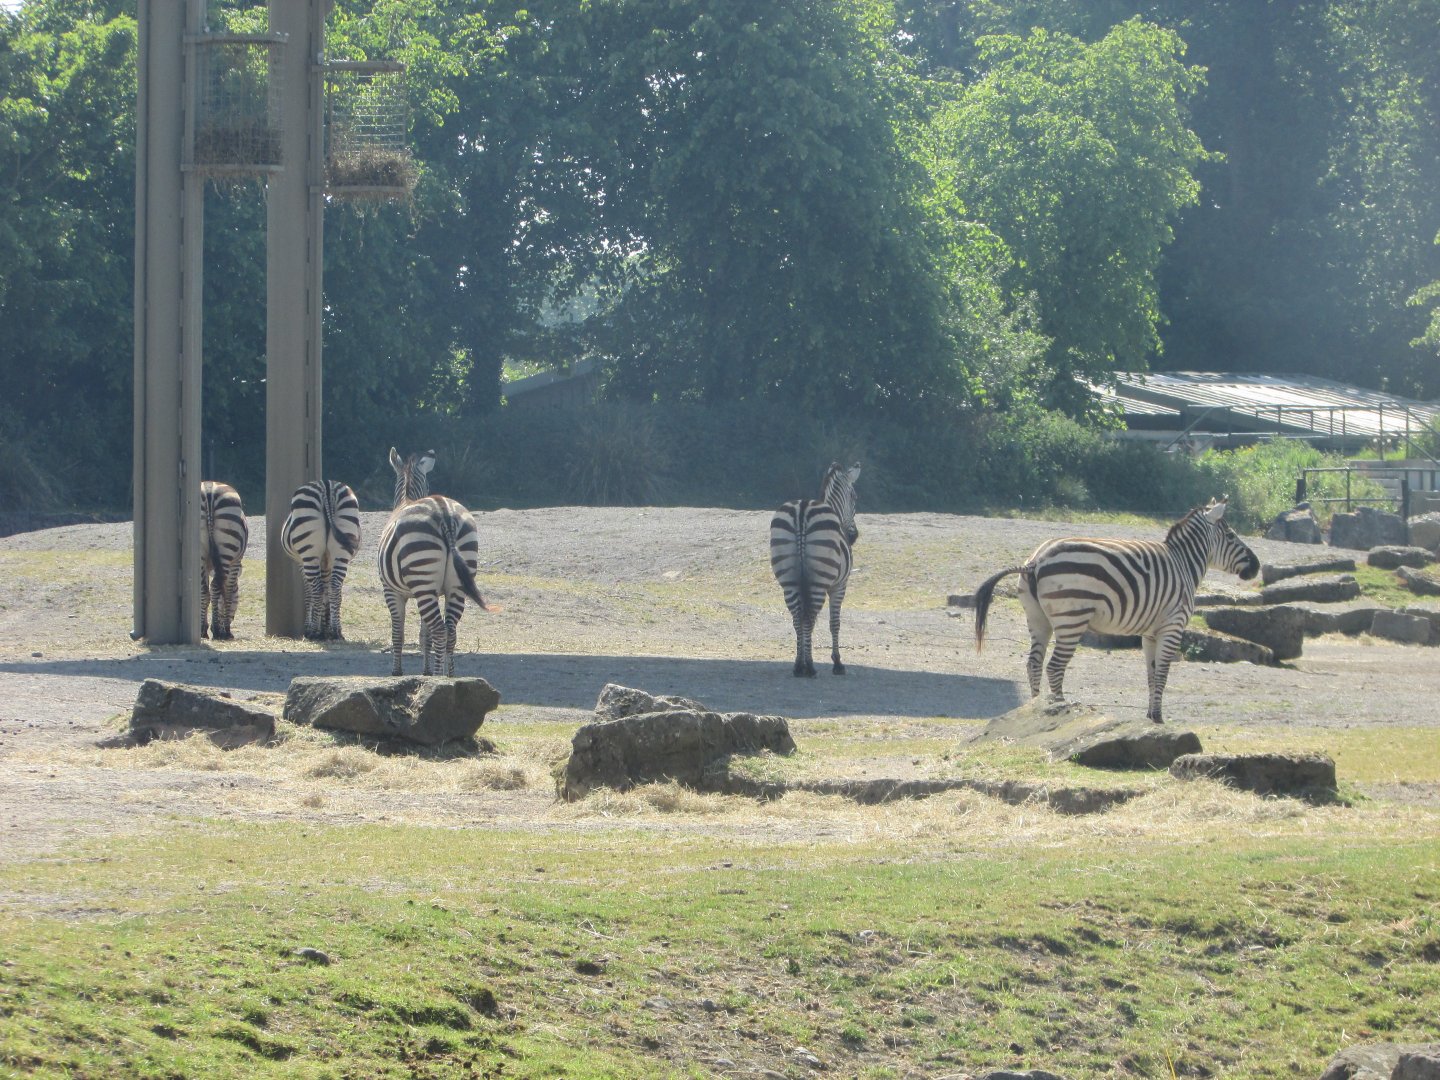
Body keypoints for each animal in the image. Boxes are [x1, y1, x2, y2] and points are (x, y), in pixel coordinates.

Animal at [199, 481, 249, 640]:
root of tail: (209, 488)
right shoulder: (235, 563)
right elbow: (227, 591)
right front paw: (224, 629)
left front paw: (203, 627)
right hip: (228, 551)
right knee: (216, 586)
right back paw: (219, 630)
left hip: (200, 553)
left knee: (205, 589)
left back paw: (204, 631)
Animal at [282, 480, 362, 641]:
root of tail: (327, 486)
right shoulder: (326, 562)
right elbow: (327, 590)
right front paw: (326, 627)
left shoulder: (302, 563)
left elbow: (309, 593)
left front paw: (313, 627)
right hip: (341, 552)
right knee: (335, 588)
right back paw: (336, 631)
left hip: (309, 552)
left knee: (317, 590)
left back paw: (313, 632)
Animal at [376, 447, 493, 676]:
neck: (407, 499)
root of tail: (444, 511)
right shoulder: (434, 591)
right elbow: (424, 635)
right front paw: (426, 672)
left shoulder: (391, 590)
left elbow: (398, 633)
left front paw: (397, 672)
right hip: (455, 585)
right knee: (450, 632)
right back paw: (449, 677)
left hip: (423, 579)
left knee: (440, 630)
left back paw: (439, 677)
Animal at [770, 462, 861, 677]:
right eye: (854, 497)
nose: (853, 536)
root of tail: (802, 509)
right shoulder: (839, 586)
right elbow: (834, 623)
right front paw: (837, 662)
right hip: (819, 580)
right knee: (809, 617)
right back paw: (809, 666)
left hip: (789, 581)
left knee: (797, 618)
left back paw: (798, 665)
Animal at [973, 498, 1260, 723]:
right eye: (1231, 536)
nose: (1256, 566)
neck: (1184, 563)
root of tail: (1035, 562)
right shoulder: (1173, 625)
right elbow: (1163, 672)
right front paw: (1159, 718)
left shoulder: (1151, 632)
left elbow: (1151, 673)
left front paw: (1151, 715)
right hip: (1071, 619)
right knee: (1054, 667)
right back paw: (1060, 708)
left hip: (1037, 618)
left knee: (1034, 663)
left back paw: (1035, 709)